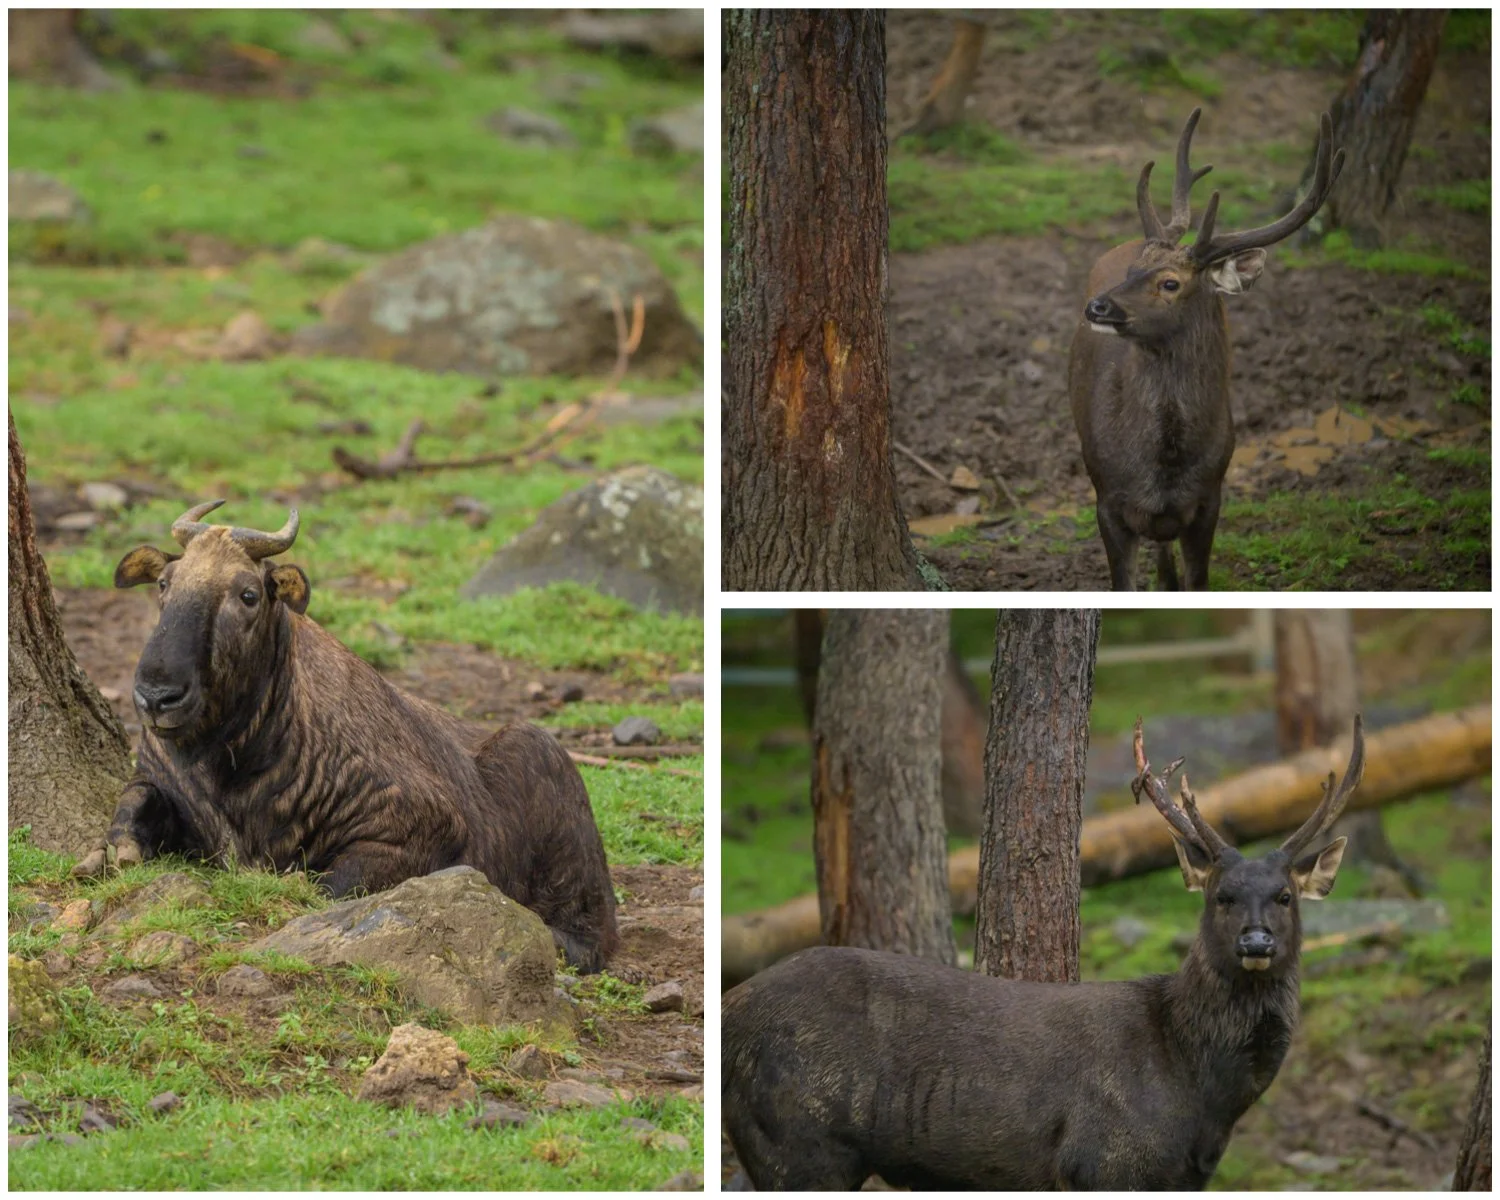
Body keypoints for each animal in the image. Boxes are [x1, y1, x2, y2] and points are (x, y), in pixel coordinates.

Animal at [73, 500, 619, 973]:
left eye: (248, 594)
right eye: (165, 584)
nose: (157, 696)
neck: (239, 756)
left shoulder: (419, 830)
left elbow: (326, 889)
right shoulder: (164, 785)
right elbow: (135, 799)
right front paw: (111, 852)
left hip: (543, 765)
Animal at [721, 716, 1365, 1190]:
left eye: (1285, 896)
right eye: (1222, 896)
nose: (1256, 942)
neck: (1198, 1094)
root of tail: (731, 1009)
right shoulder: (1106, 1163)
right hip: (798, 1141)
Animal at [1069, 108, 1345, 590]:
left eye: (1170, 283)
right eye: (1134, 270)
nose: (1097, 305)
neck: (1162, 468)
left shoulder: (1210, 499)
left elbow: (1199, 581)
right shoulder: (1106, 498)